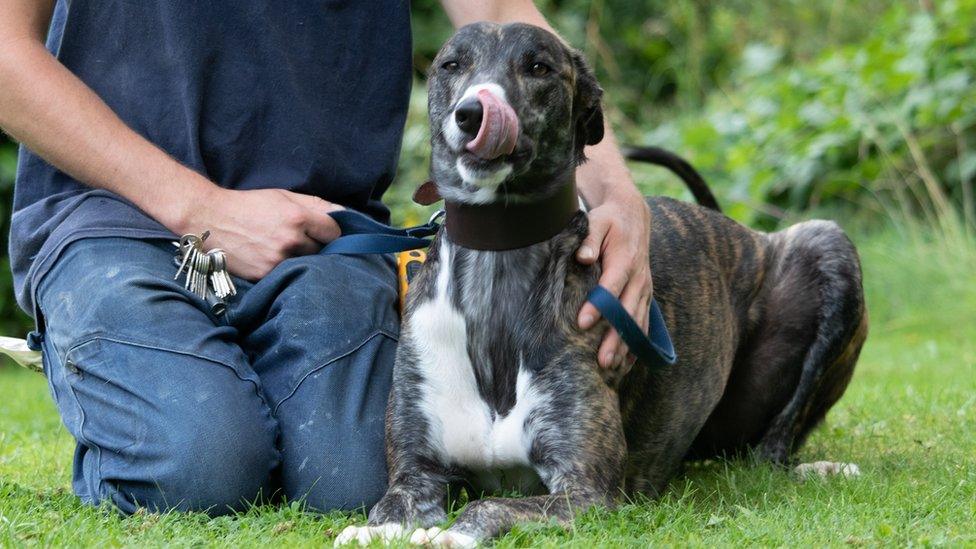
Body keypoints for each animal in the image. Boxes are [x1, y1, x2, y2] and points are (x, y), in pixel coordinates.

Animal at [338, 21, 868, 544]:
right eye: (451, 64)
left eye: (539, 66)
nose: (473, 113)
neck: (498, 269)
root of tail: (742, 231)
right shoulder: (417, 470)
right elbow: (391, 504)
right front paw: (376, 529)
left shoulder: (588, 491)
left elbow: (492, 504)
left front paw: (452, 533)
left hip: (828, 246)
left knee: (774, 448)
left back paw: (817, 468)